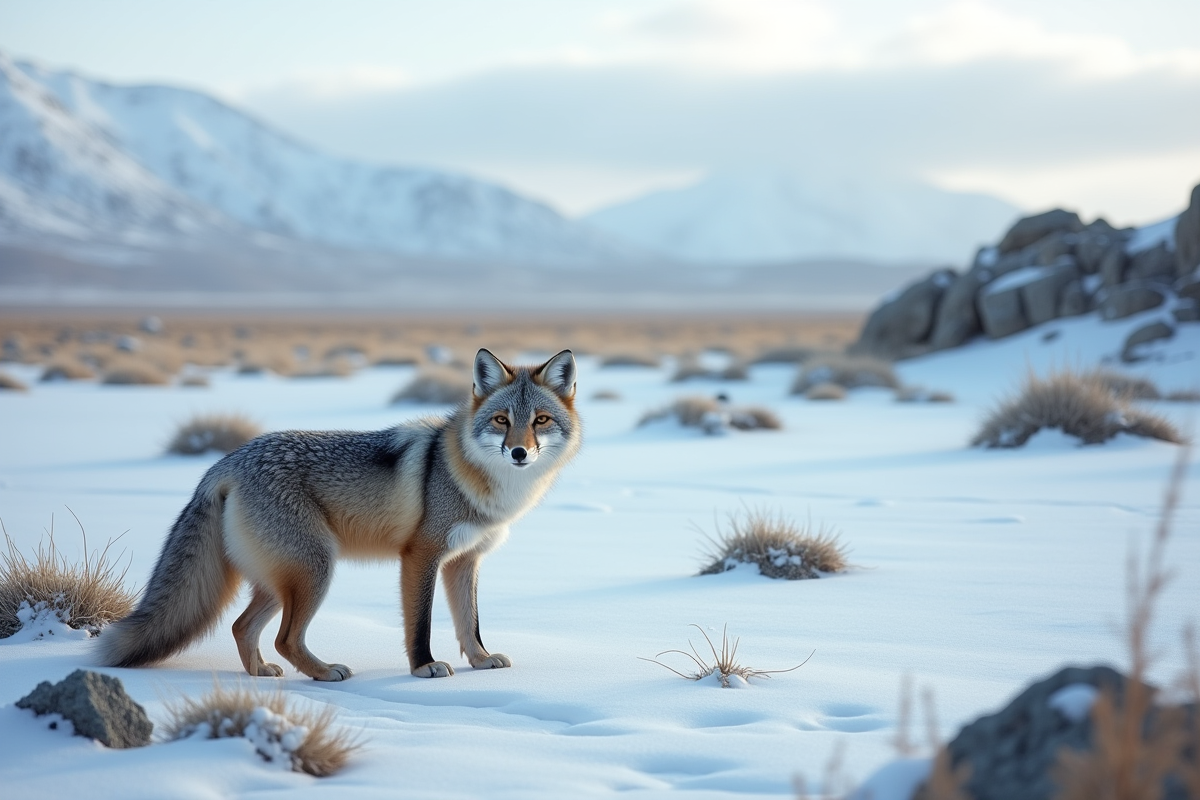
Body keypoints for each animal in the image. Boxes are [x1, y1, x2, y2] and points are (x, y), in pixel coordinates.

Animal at [98, 348, 581, 680]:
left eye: (540, 421)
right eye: (501, 420)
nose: (519, 453)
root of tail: (227, 461)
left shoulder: (465, 560)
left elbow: (470, 623)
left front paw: (480, 661)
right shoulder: (421, 555)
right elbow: (420, 623)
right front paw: (423, 667)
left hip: (281, 580)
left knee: (240, 627)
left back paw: (260, 674)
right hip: (315, 569)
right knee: (283, 638)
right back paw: (324, 672)